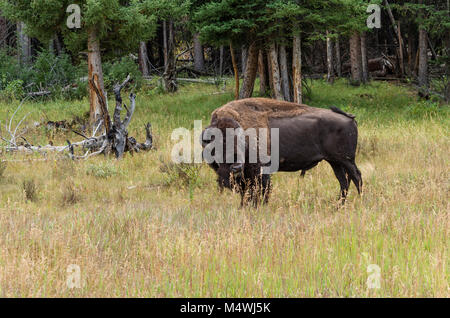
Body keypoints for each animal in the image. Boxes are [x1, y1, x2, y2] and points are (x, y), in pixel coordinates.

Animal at [202, 97, 364, 206]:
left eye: (240, 142)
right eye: (216, 146)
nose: (235, 167)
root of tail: (349, 118)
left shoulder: (259, 171)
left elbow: (260, 190)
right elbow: (247, 192)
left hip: (346, 160)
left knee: (356, 177)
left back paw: (360, 202)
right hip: (334, 161)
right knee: (343, 181)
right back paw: (338, 205)